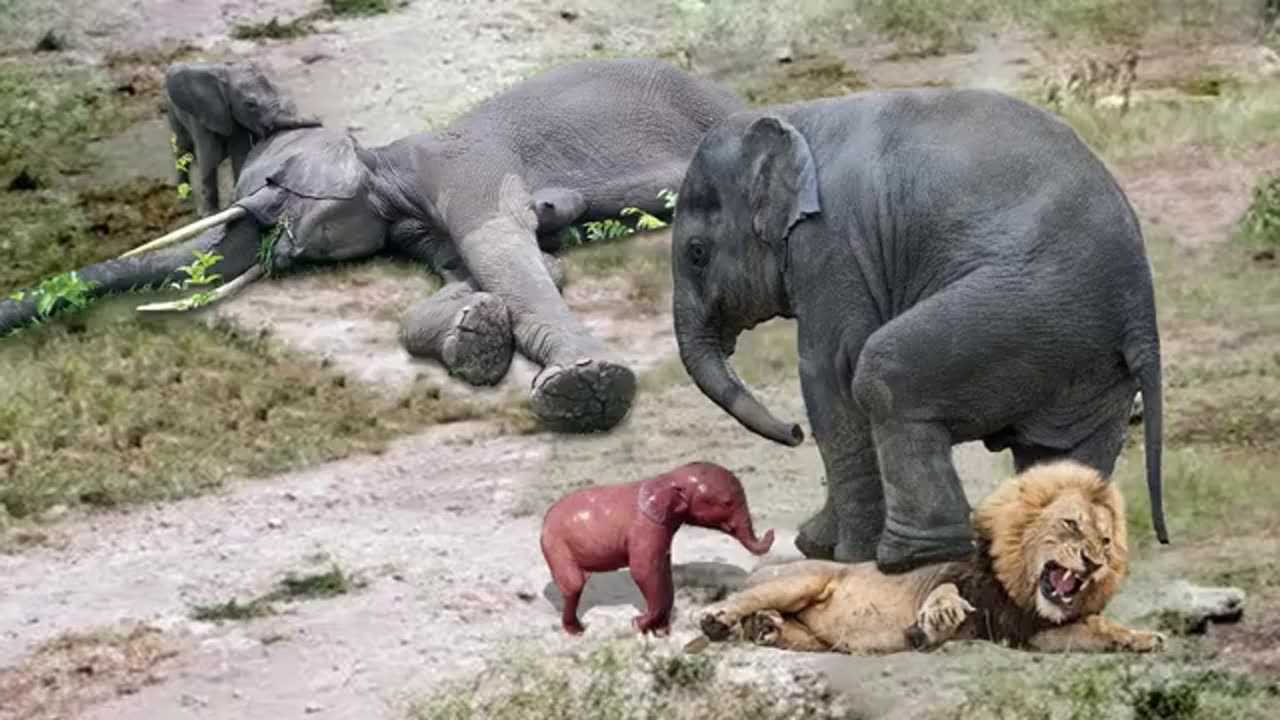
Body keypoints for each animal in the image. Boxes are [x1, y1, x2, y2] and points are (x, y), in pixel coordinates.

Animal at [165, 60, 320, 215]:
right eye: (250, 105)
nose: (319, 121)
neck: (226, 74)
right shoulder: (204, 115)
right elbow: (209, 157)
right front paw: (210, 213)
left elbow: (240, 154)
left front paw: (236, 200)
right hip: (173, 112)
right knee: (183, 148)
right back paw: (184, 198)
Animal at [537, 458, 773, 632]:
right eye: (727, 503)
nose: (771, 531)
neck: (670, 478)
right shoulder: (646, 528)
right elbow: (643, 571)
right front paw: (638, 624)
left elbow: (662, 570)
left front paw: (660, 632)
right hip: (555, 544)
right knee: (574, 583)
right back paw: (578, 631)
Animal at [670, 88, 1172, 571]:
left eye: (696, 252)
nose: (792, 432)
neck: (797, 117)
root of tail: (1140, 309)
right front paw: (818, 545)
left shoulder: (833, 247)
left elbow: (829, 375)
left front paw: (842, 554)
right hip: (1087, 357)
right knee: (1058, 453)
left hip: (1026, 310)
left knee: (882, 376)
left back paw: (908, 557)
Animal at [696, 458, 1167, 655]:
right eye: (1071, 524)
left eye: (1105, 542)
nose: (1094, 563)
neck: (1018, 588)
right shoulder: (951, 578)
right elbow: (944, 591)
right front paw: (938, 618)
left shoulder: (1027, 632)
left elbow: (1098, 628)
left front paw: (1142, 637)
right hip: (799, 580)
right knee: (738, 602)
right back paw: (721, 620)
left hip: (820, 638)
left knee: (783, 630)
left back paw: (765, 628)